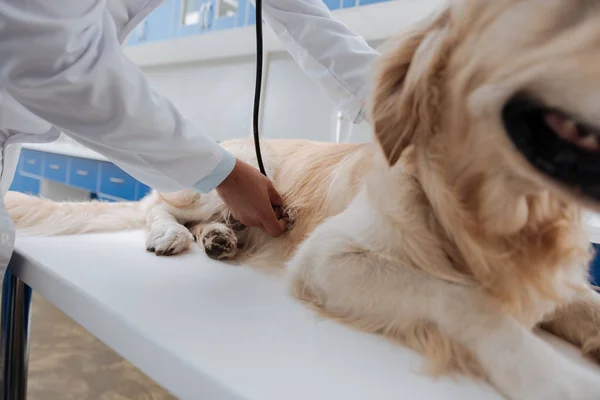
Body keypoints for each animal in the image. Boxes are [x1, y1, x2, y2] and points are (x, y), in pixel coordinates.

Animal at [5, 1, 600, 398]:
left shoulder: (559, 282)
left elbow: (584, 302)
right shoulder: (329, 258)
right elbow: (464, 299)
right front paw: (553, 377)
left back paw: (219, 238)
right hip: (215, 178)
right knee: (159, 204)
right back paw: (174, 233)